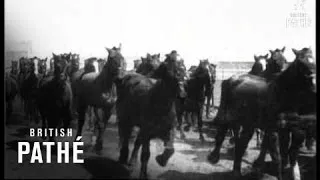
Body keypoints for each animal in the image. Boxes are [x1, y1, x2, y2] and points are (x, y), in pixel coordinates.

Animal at [114, 51, 185, 179]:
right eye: (169, 72)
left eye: (184, 70)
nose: (182, 95)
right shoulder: (146, 132)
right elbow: (145, 154)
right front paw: (143, 174)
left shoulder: (169, 130)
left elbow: (170, 149)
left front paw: (161, 160)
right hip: (125, 120)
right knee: (125, 137)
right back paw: (123, 157)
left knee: (136, 142)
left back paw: (132, 161)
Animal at [208, 47, 316, 180]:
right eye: (300, 63)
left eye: (313, 60)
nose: (314, 86)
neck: (281, 94)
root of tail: (232, 79)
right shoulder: (273, 131)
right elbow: (277, 157)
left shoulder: (289, 130)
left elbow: (287, 155)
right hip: (227, 115)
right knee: (222, 133)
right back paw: (215, 157)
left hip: (248, 123)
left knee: (241, 143)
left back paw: (237, 171)